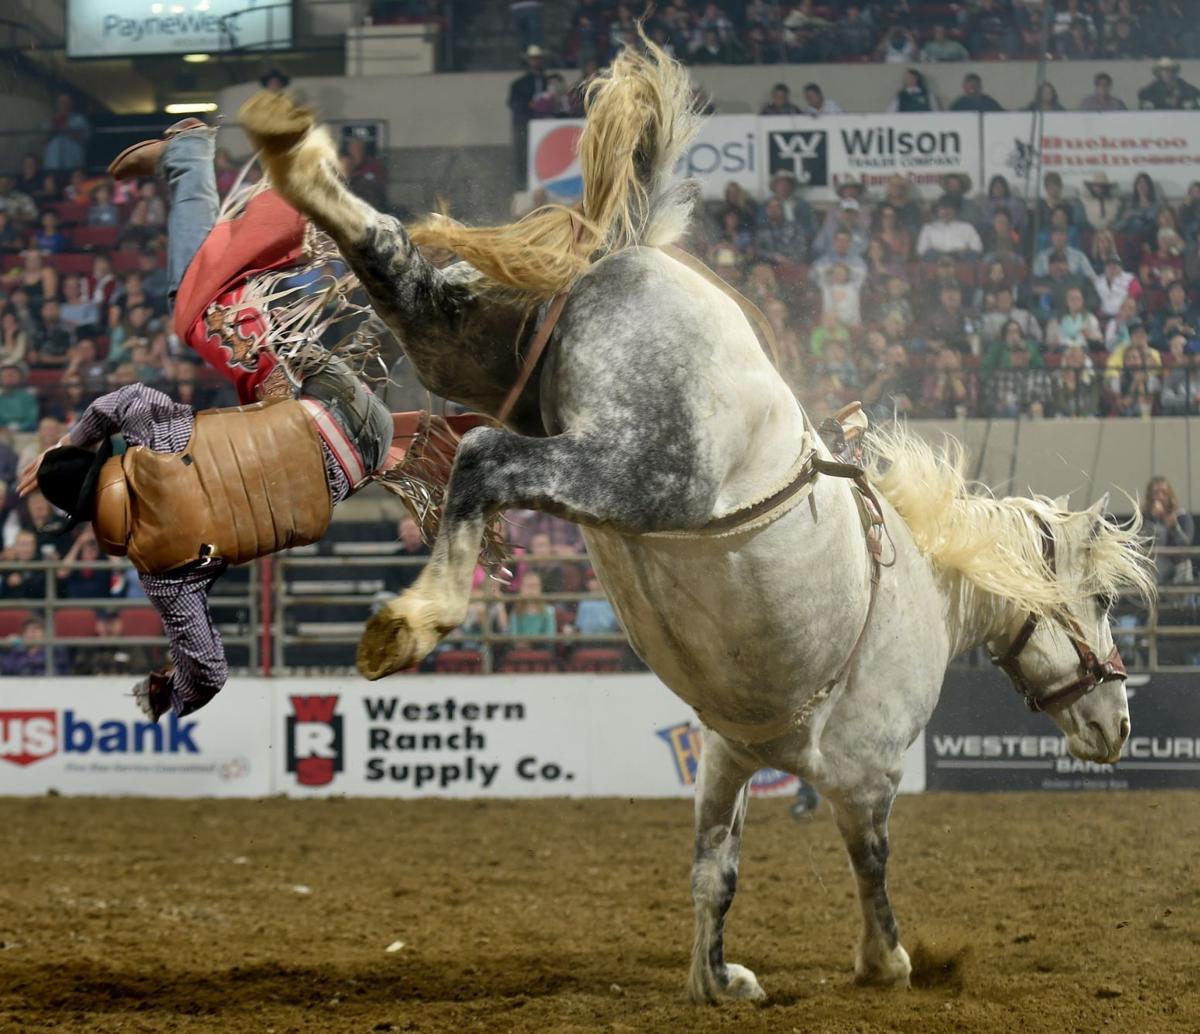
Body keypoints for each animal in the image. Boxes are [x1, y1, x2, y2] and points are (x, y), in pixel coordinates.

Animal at [241, 46, 1152, 1002]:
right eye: (1099, 605)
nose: (1120, 728)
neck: (927, 590)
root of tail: (634, 255)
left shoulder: (724, 755)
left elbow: (715, 870)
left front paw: (716, 980)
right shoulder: (867, 773)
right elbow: (871, 865)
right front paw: (886, 961)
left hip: (473, 346)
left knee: (397, 265)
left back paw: (294, 153)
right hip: (640, 473)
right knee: (486, 460)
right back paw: (415, 619)